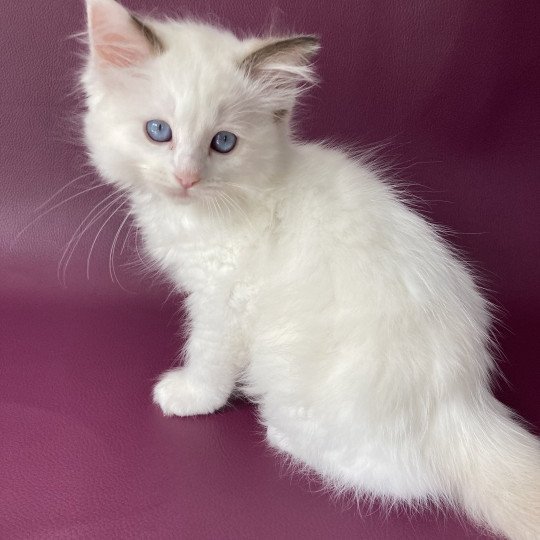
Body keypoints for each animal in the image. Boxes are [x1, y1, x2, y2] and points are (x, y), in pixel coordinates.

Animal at [81, 2, 540, 536]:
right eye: (159, 132)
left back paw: (282, 436)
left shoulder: (223, 301)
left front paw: (191, 396)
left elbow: (207, 357)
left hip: (291, 372)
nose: (186, 178)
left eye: (223, 143)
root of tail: (461, 403)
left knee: (400, 480)